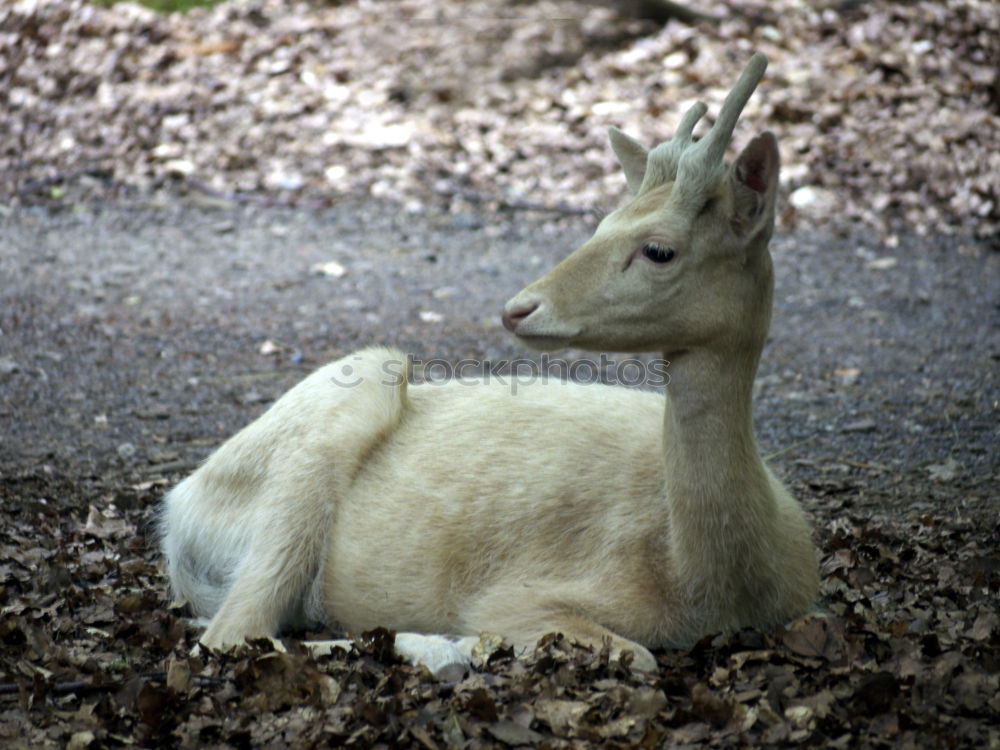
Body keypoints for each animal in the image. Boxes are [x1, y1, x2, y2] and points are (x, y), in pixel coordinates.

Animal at [160, 53, 820, 676]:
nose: (519, 308)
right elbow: (639, 655)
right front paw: (469, 642)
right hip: (338, 417)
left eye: (659, 249)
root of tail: (175, 514)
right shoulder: (516, 596)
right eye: (602, 222)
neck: (714, 584)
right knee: (227, 634)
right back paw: (440, 648)